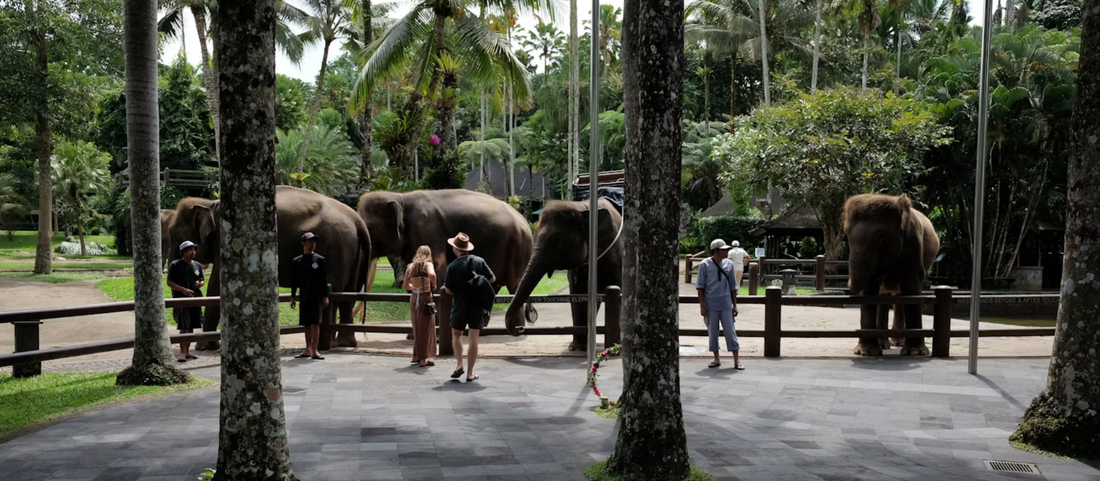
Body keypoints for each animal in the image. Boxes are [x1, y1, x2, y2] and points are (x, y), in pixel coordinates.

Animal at [166, 186, 374, 347]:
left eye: (175, 237)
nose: (177, 321)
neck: (210, 203)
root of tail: (357, 220)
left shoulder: (226, 240)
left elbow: (216, 286)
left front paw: (203, 347)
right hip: (351, 250)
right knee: (348, 293)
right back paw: (344, 343)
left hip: (336, 248)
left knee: (335, 293)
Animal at [358, 187, 534, 321]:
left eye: (370, 228)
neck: (400, 196)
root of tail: (525, 221)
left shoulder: (426, 228)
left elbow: (435, 270)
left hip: (519, 250)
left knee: (515, 286)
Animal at [503, 197, 624, 350]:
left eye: (557, 241)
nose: (519, 328)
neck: (584, 207)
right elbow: (579, 294)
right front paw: (577, 348)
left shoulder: (618, 256)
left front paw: (617, 346)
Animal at [844, 192, 941, 356]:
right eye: (846, 234)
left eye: (880, 237)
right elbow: (870, 290)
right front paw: (866, 353)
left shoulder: (912, 244)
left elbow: (912, 287)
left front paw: (915, 353)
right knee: (885, 297)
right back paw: (884, 345)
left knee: (900, 296)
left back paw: (898, 343)